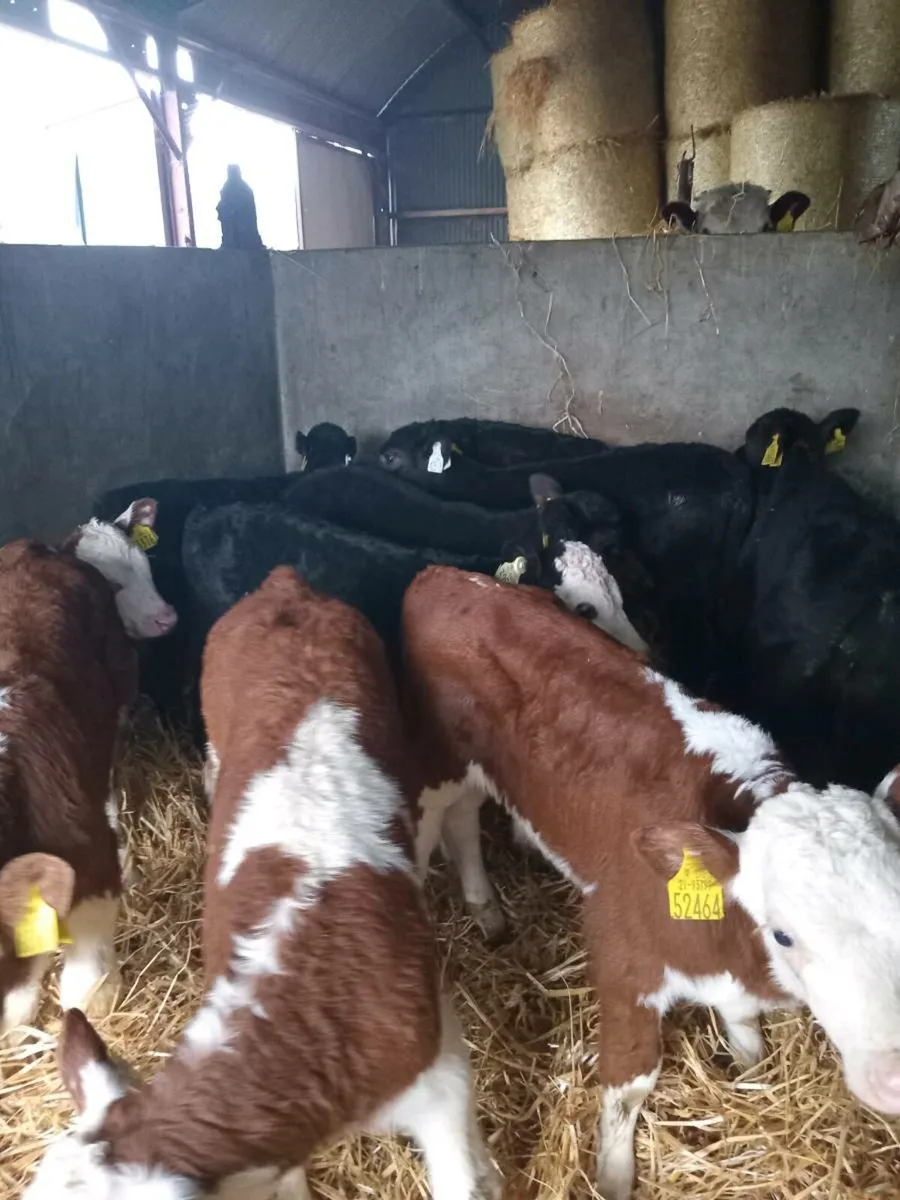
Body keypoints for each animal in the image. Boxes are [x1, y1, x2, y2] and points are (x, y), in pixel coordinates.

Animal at [403, 566, 900, 1200]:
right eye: (784, 934)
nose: (895, 1077)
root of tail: (441, 575)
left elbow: (745, 1030)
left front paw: (747, 1068)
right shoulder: (622, 957)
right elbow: (631, 1083)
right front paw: (613, 1177)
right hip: (438, 767)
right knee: (454, 824)